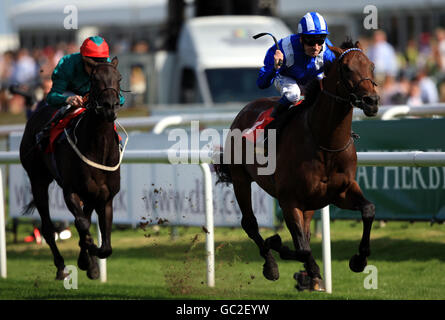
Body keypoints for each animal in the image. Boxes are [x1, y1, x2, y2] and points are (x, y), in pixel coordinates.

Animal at [20, 57, 122, 280]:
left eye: (118, 78)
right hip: (37, 180)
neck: (98, 147)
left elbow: (106, 246)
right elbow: (82, 225)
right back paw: (61, 267)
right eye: (94, 79)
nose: (110, 107)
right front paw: (87, 255)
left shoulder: (105, 197)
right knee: (48, 228)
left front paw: (91, 262)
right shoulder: (71, 191)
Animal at [214, 39, 378, 290]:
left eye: (372, 66)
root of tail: (244, 110)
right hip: (241, 178)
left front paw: (358, 260)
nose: (372, 101)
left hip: (310, 203)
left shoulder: (341, 192)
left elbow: (368, 210)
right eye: (347, 68)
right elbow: (301, 248)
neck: (324, 142)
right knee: (250, 223)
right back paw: (271, 266)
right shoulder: (289, 200)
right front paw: (280, 247)